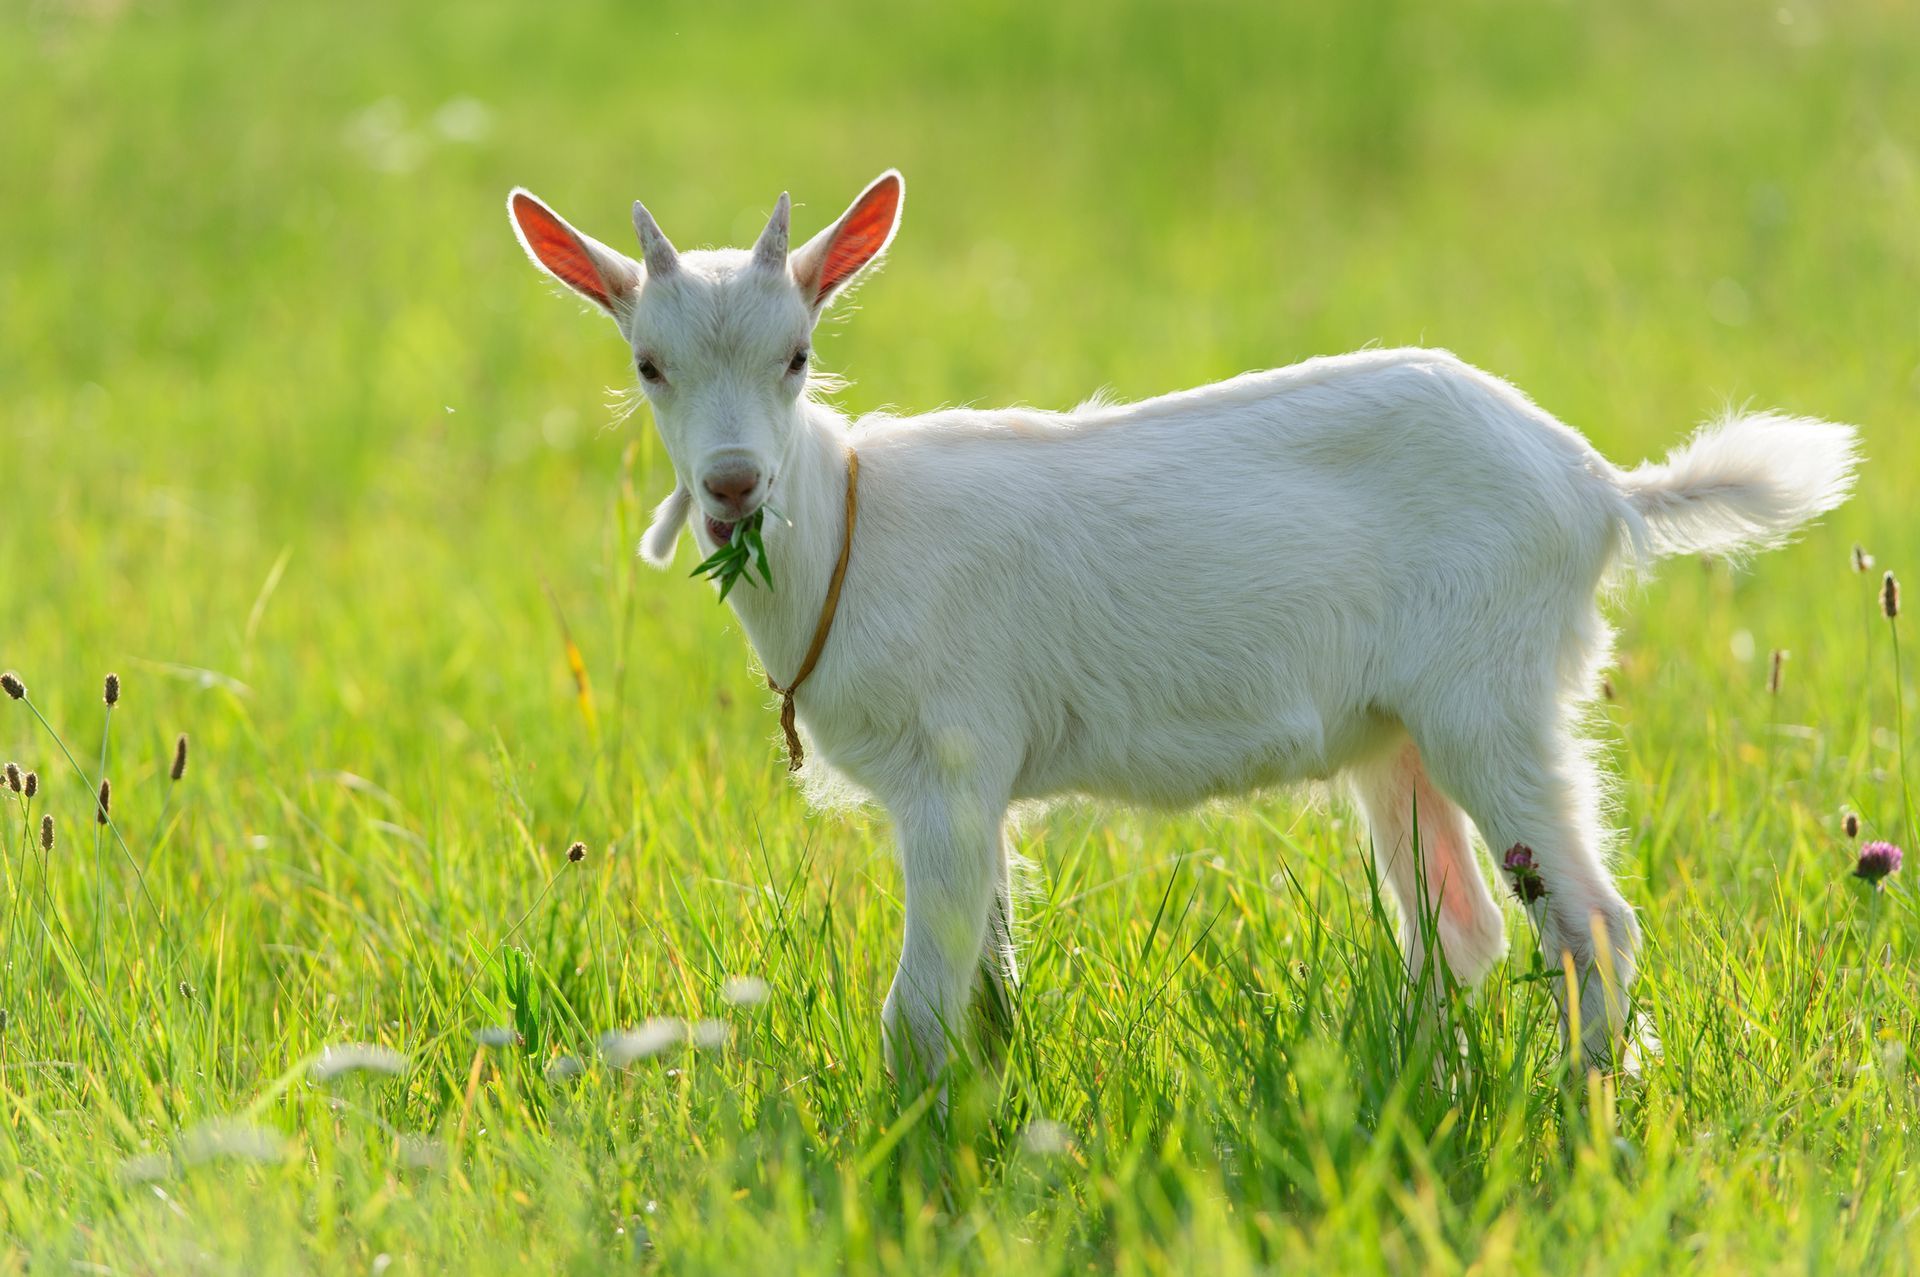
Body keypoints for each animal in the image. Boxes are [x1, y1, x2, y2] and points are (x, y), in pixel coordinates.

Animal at [508, 170, 1858, 1081]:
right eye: (647, 365)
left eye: (797, 355)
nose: (734, 486)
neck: (847, 526)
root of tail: (1598, 486)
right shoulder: (973, 788)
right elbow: (988, 985)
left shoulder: (949, 765)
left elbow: (920, 1008)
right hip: (1401, 734)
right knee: (1459, 927)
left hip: (1497, 695)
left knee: (1590, 921)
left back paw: (1591, 1109)